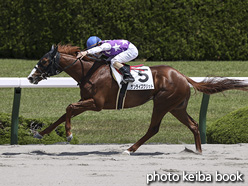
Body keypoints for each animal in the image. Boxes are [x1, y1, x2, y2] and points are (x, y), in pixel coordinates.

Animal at [27, 44, 248, 153]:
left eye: (44, 61)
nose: (30, 77)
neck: (90, 71)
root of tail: (182, 76)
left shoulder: (97, 104)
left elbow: (69, 107)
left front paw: (69, 135)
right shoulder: (88, 102)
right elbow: (64, 113)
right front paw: (40, 133)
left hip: (162, 103)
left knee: (153, 129)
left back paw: (130, 149)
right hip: (177, 107)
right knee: (193, 125)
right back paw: (198, 152)